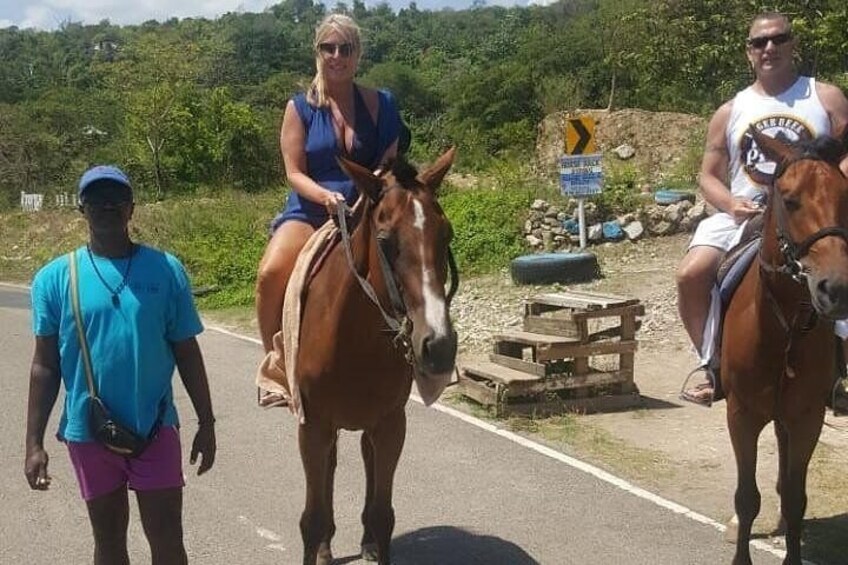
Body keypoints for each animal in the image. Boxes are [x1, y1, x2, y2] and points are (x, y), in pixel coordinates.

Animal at [294, 148, 460, 560]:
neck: (353, 339)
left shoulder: (390, 425)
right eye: (385, 241)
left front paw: (374, 536)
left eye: (446, 234)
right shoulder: (313, 426)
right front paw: (320, 540)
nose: (439, 345)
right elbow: (312, 519)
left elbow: (383, 515)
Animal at [720, 128, 848, 564]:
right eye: (790, 200)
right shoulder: (741, 416)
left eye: (846, 196)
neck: (783, 327)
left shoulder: (807, 417)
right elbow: (745, 498)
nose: (835, 288)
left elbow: (796, 499)